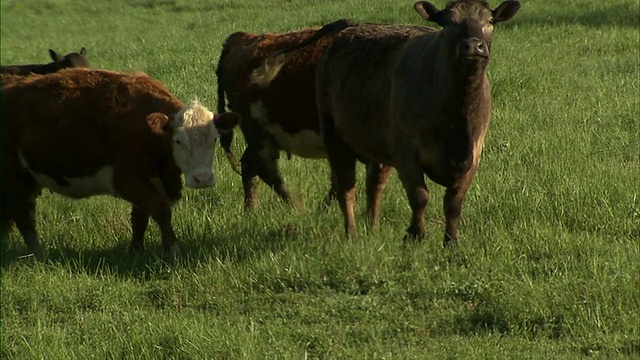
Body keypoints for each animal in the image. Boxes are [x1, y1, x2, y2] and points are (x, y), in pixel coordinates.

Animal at [0, 68, 240, 258]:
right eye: (178, 140)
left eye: (215, 138)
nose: (203, 178)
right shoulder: (127, 179)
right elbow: (160, 210)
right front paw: (172, 250)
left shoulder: (152, 180)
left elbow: (140, 218)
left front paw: (136, 251)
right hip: (15, 178)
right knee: (24, 216)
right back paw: (39, 254)